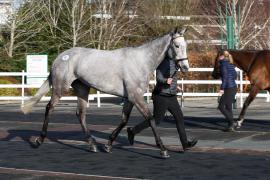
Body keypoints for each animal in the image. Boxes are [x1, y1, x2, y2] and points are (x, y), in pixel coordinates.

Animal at [21, 26, 189, 158]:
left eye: (185, 45)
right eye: (176, 45)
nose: (185, 67)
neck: (140, 62)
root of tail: (60, 57)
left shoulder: (129, 98)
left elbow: (124, 120)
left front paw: (108, 145)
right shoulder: (135, 96)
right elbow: (150, 119)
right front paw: (163, 150)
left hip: (82, 89)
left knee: (80, 113)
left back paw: (92, 145)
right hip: (60, 87)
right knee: (49, 108)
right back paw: (39, 140)